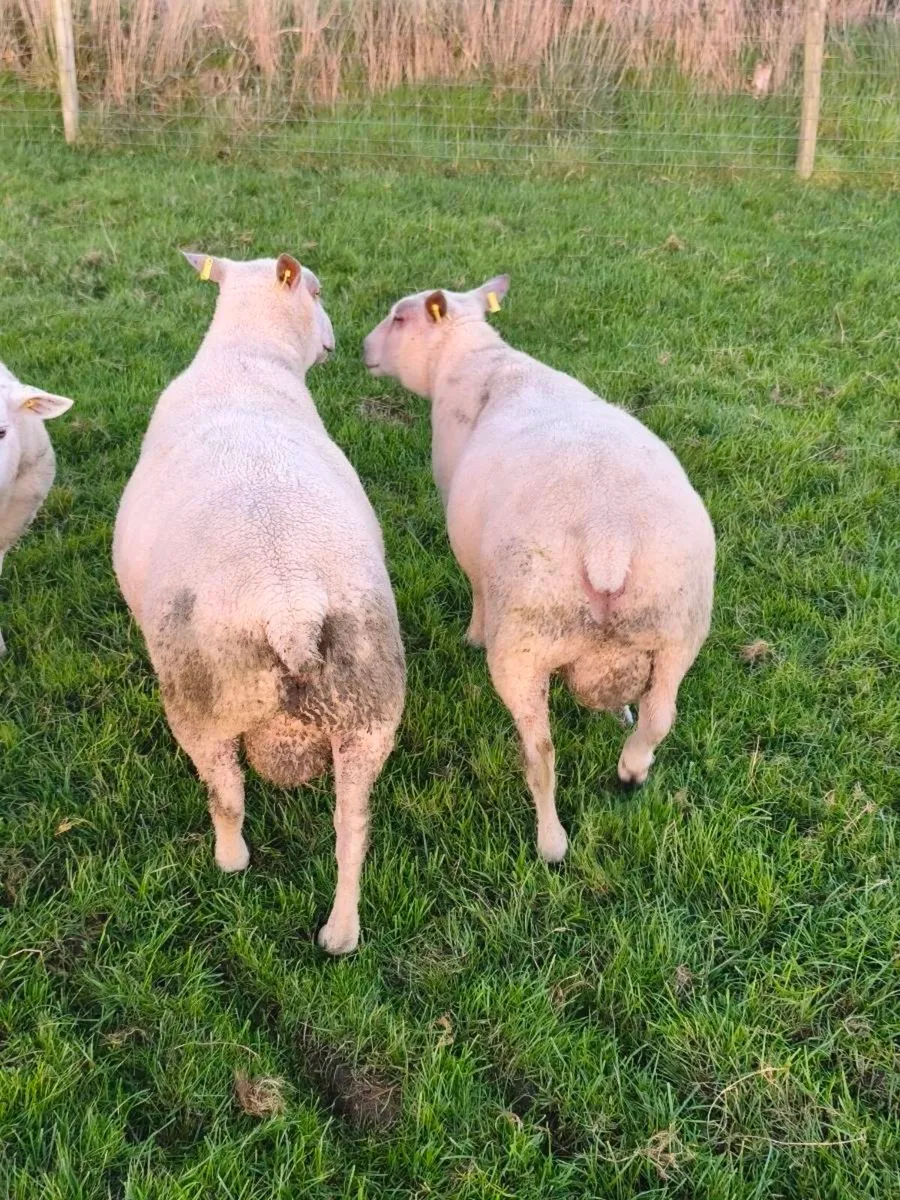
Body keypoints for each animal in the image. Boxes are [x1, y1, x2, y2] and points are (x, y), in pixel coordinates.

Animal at [114, 252, 405, 954]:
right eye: (319, 293)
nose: (334, 340)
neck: (245, 359)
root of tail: (290, 609)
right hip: (368, 713)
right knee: (352, 831)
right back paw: (340, 932)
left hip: (204, 701)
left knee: (228, 799)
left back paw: (230, 861)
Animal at [363, 276, 714, 862]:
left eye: (399, 318)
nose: (363, 350)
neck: (480, 356)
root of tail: (608, 537)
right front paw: (619, 716)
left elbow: (475, 591)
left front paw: (470, 636)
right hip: (676, 628)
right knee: (661, 716)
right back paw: (631, 767)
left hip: (525, 644)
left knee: (540, 752)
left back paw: (551, 842)